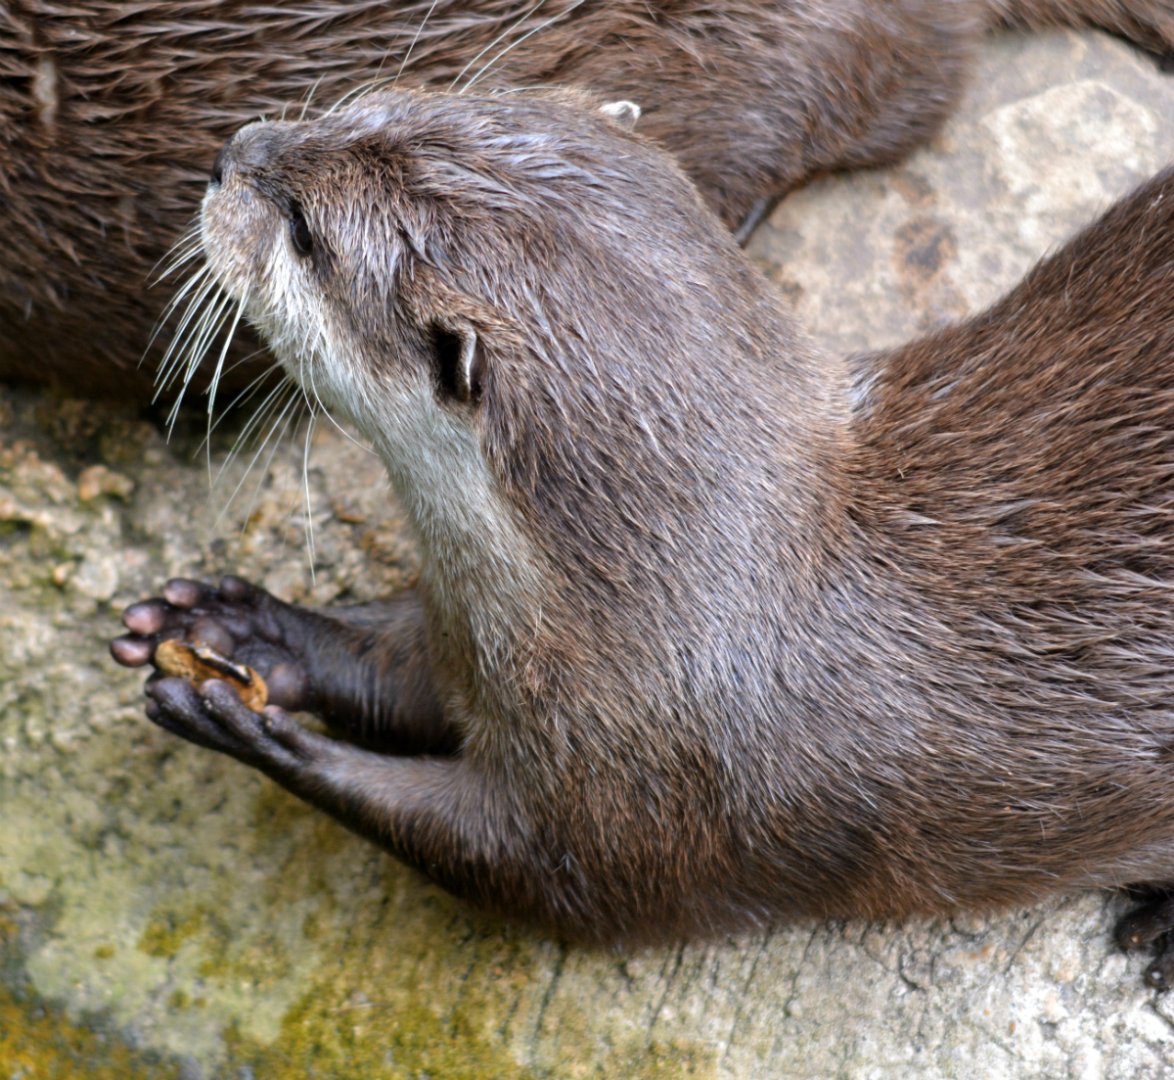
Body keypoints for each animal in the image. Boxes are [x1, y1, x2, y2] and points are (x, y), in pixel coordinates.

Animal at [111, 85, 1174, 985]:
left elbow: (525, 870)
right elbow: (398, 663)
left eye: (303, 232)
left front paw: (251, 729)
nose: (230, 153)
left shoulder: (662, 814)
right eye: (364, 102)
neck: (670, 613)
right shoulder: (471, 636)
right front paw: (248, 629)